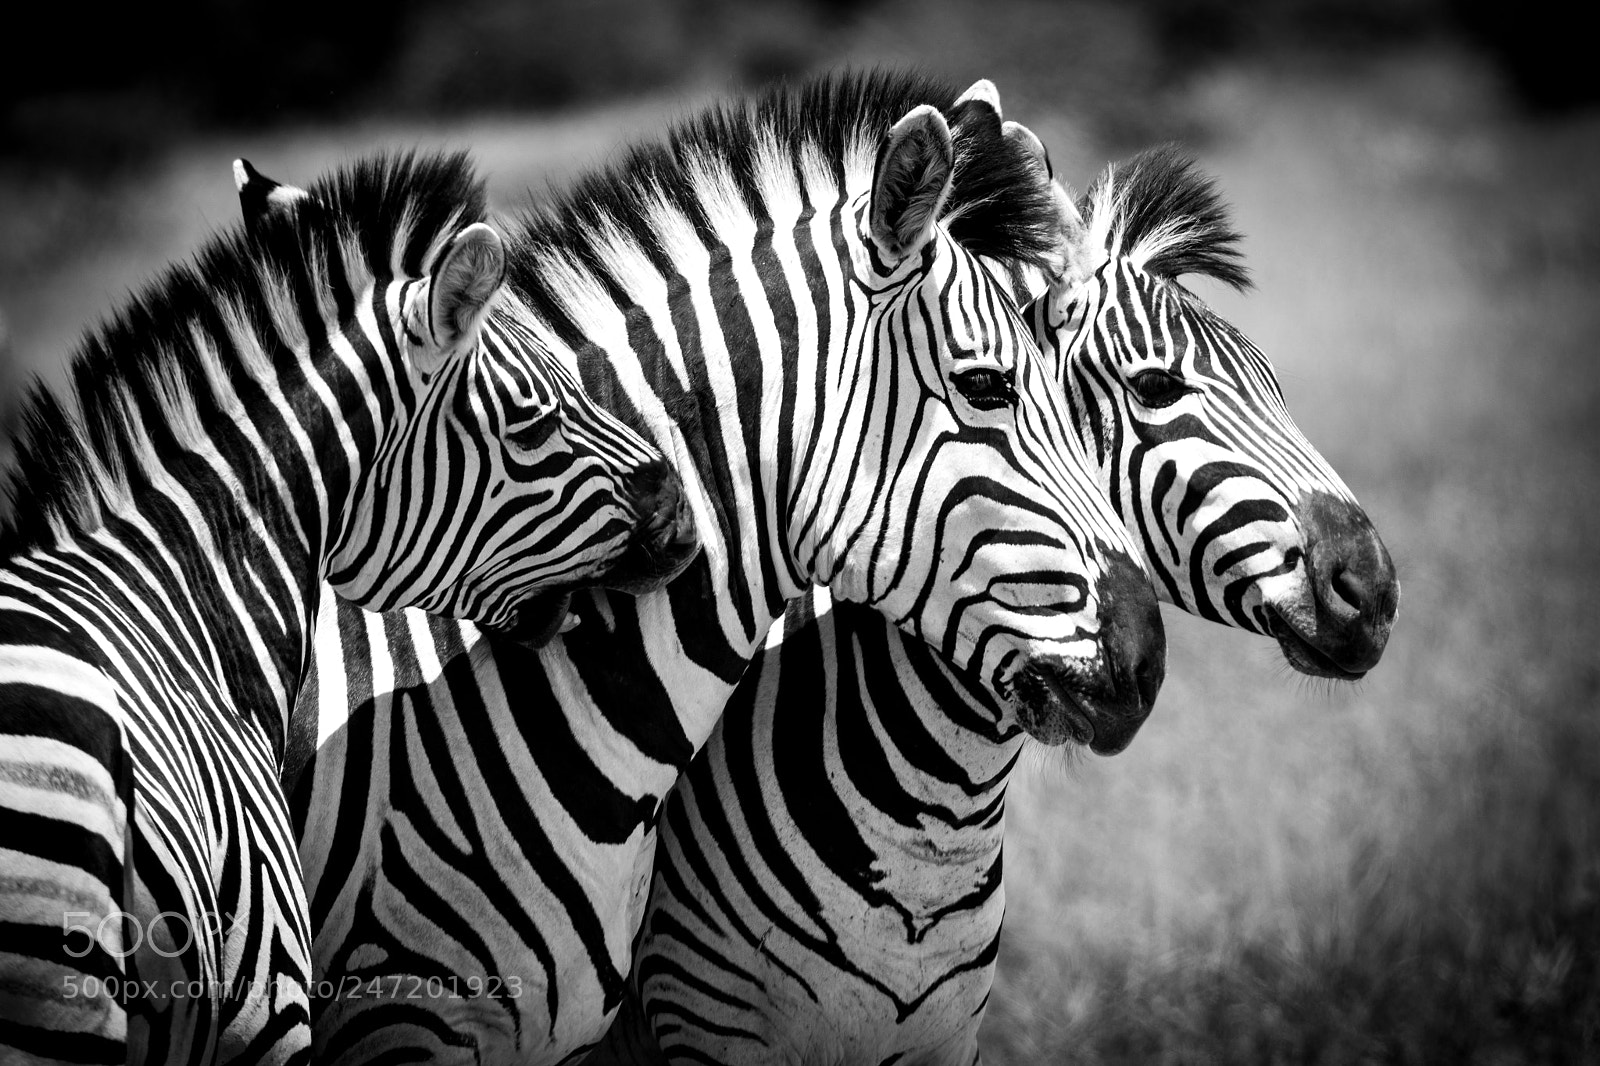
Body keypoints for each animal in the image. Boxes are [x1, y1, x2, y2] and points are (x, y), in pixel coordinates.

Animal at [598, 134, 1401, 1064]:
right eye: (1157, 388)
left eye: (1276, 381)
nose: (1375, 590)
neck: (932, 829)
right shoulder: (709, 1025)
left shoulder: (947, 1036)